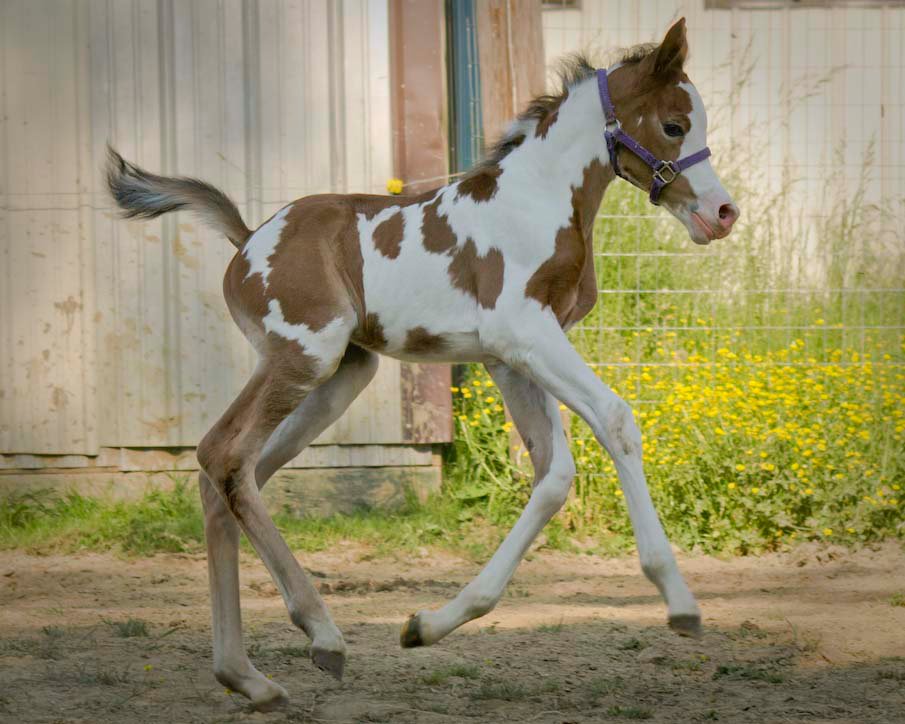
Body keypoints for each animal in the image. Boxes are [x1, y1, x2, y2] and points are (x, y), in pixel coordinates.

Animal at [109, 19, 740, 708]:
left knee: (228, 471)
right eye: (675, 125)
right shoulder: (526, 334)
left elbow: (554, 474)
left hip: (338, 378)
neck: (536, 201)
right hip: (305, 357)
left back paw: (248, 677)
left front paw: (430, 624)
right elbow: (616, 420)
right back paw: (320, 634)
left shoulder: (513, 357)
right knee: (223, 456)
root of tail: (248, 240)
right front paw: (678, 600)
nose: (722, 213)